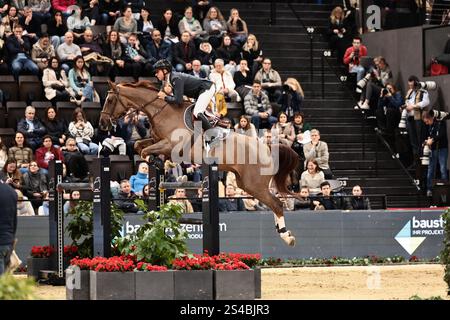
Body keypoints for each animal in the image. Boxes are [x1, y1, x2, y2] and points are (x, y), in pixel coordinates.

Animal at [100, 81, 300, 246]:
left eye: (110, 100)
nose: (102, 124)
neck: (162, 112)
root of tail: (267, 147)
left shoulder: (170, 145)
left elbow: (144, 150)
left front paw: (157, 161)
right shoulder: (158, 141)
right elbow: (139, 146)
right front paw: (158, 162)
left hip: (254, 184)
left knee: (276, 203)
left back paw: (287, 236)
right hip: (245, 183)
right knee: (273, 203)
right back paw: (283, 232)